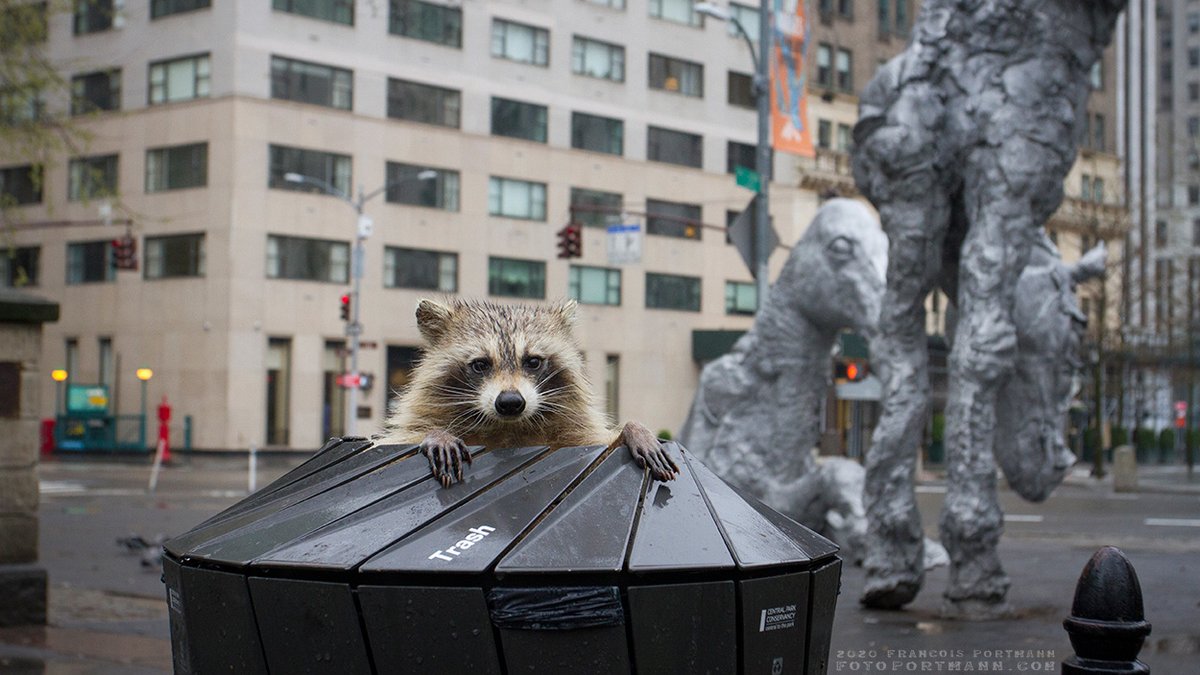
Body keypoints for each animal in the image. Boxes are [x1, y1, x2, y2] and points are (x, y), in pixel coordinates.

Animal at [379, 298, 679, 486]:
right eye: (480, 364)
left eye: (532, 361)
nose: (511, 402)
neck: (508, 428)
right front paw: (436, 434)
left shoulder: (572, 435)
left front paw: (630, 429)